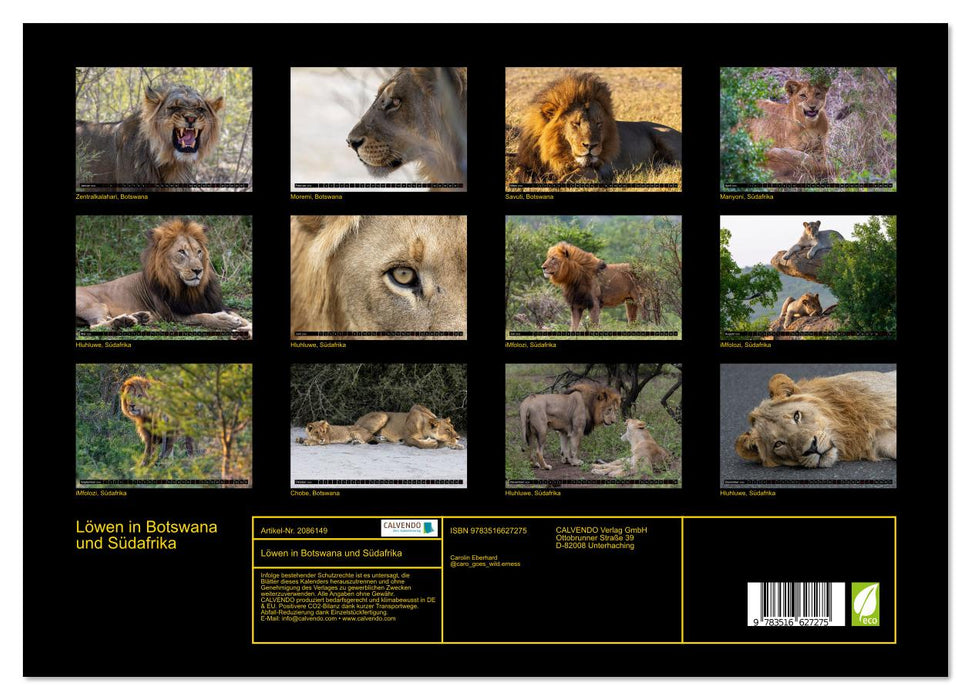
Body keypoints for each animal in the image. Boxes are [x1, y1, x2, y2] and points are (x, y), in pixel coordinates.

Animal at [76, 219, 252, 338]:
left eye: (199, 252)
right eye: (182, 252)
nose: (198, 270)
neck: (191, 289)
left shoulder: (212, 304)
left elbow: (242, 317)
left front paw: (244, 326)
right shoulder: (171, 315)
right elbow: (203, 316)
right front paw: (227, 322)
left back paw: (139, 317)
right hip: (94, 304)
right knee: (96, 325)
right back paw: (123, 322)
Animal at [512, 71, 682, 183]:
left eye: (599, 123)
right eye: (576, 123)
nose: (590, 146)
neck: (556, 153)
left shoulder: (597, 171)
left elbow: (566, 178)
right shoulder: (530, 163)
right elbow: (517, 173)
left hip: (664, 136)